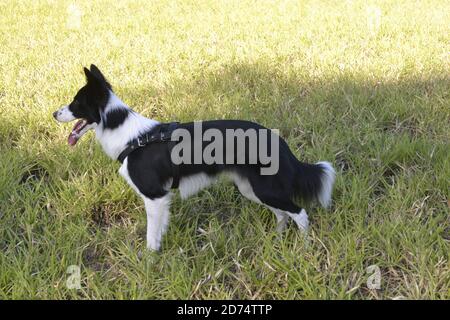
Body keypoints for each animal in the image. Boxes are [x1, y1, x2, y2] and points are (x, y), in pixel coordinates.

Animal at [52, 64, 334, 250]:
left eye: (76, 103)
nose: (54, 114)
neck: (128, 134)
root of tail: (279, 141)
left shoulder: (155, 196)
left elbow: (151, 237)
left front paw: (148, 264)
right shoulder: (160, 200)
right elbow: (158, 232)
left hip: (265, 189)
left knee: (299, 213)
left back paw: (304, 248)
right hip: (252, 188)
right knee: (282, 214)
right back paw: (276, 240)